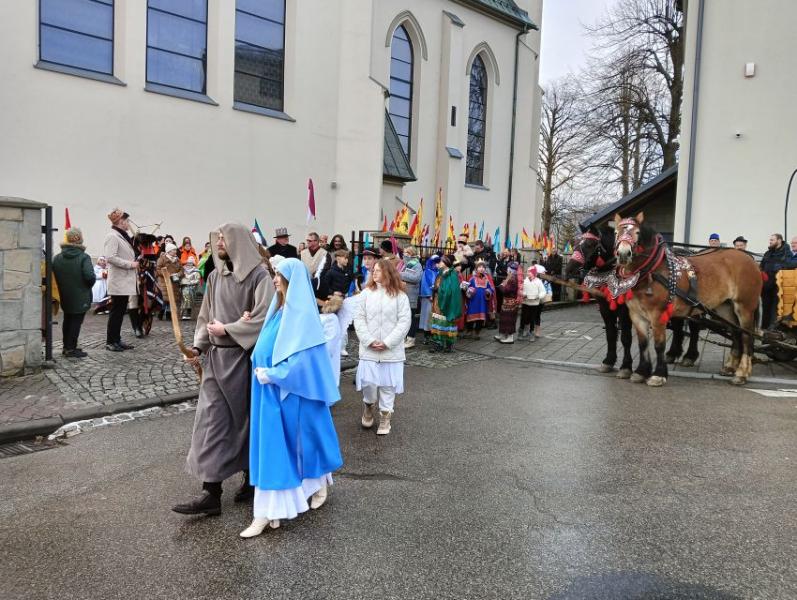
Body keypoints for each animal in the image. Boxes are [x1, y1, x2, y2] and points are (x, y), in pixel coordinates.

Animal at [567, 226, 702, 379]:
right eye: (576, 242)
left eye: (590, 244)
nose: (569, 269)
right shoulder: (605, 308)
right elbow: (611, 335)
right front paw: (608, 361)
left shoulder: (626, 310)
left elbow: (626, 338)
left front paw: (626, 367)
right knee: (678, 326)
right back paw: (672, 354)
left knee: (694, 328)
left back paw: (690, 356)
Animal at [614, 212, 762, 386]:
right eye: (616, 233)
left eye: (637, 232)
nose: (624, 254)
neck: (653, 270)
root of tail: (750, 259)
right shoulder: (636, 315)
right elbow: (643, 344)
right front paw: (641, 372)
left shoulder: (658, 315)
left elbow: (659, 345)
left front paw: (658, 375)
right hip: (725, 307)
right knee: (735, 331)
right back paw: (730, 366)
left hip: (745, 307)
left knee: (746, 336)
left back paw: (742, 373)